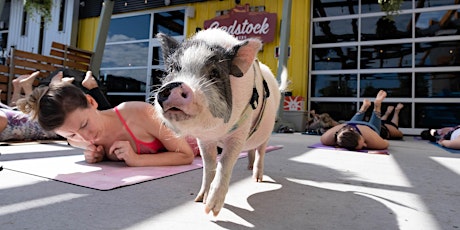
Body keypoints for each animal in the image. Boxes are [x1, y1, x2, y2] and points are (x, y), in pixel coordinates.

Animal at [153, 28, 286, 216]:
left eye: (214, 73)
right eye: (172, 68)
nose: (173, 86)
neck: (217, 132)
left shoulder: (240, 131)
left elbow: (225, 162)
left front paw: (211, 210)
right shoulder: (204, 139)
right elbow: (209, 165)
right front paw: (199, 199)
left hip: (266, 133)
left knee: (261, 151)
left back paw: (257, 179)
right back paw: (248, 167)